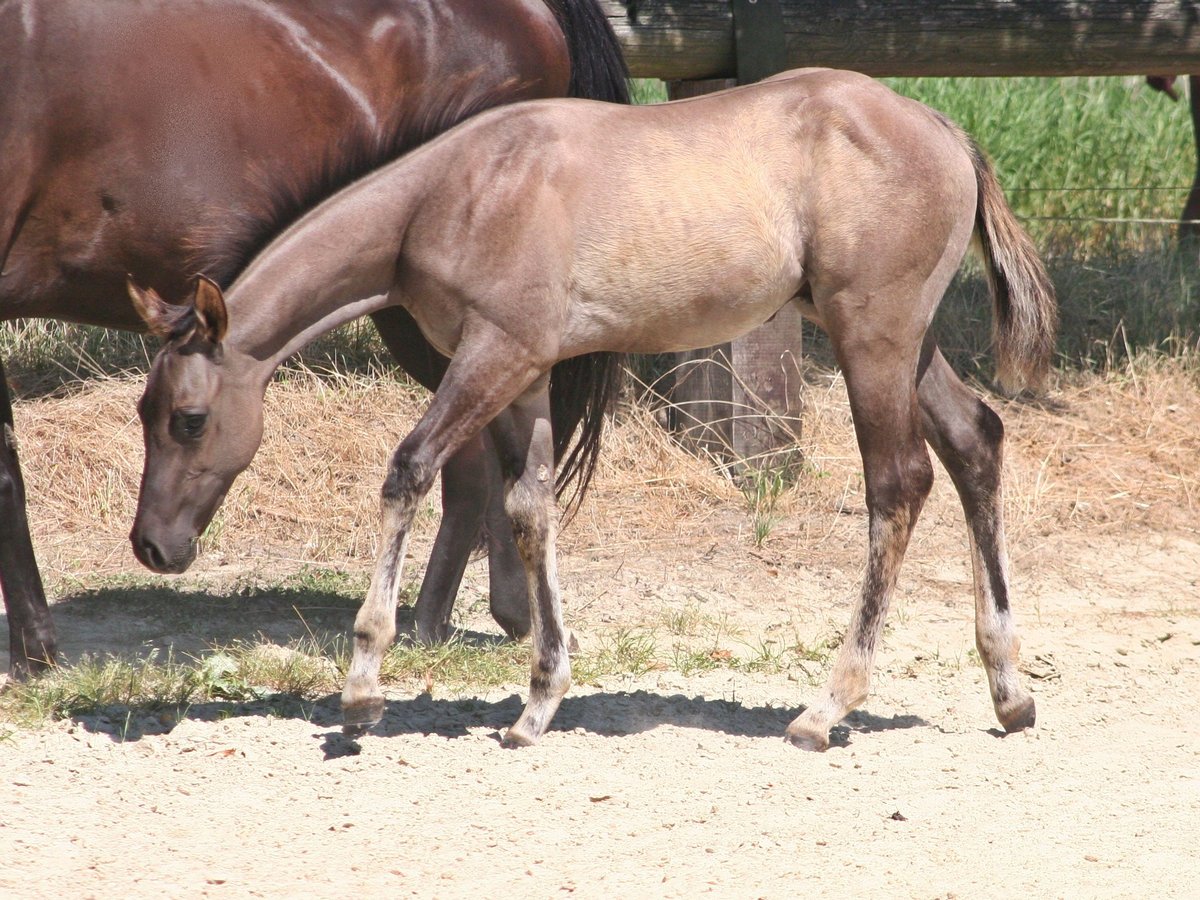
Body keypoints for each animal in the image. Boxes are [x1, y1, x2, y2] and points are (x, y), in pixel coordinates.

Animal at [0, 0, 633, 676]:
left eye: (191, 421)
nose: (149, 546)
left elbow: (6, 475)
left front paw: (36, 652)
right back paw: (448, 620)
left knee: (478, 462)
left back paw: (484, 619)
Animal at [126, 66, 1056, 748]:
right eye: (144, 410)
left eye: (190, 419)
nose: (152, 545)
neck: (455, 192)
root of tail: (947, 132)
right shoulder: (527, 371)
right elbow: (529, 510)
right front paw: (538, 701)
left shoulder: (493, 353)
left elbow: (409, 471)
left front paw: (362, 688)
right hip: (906, 345)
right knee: (975, 443)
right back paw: (1009, 691)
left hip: (873, 339)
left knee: (898, 484)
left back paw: (827, 708)